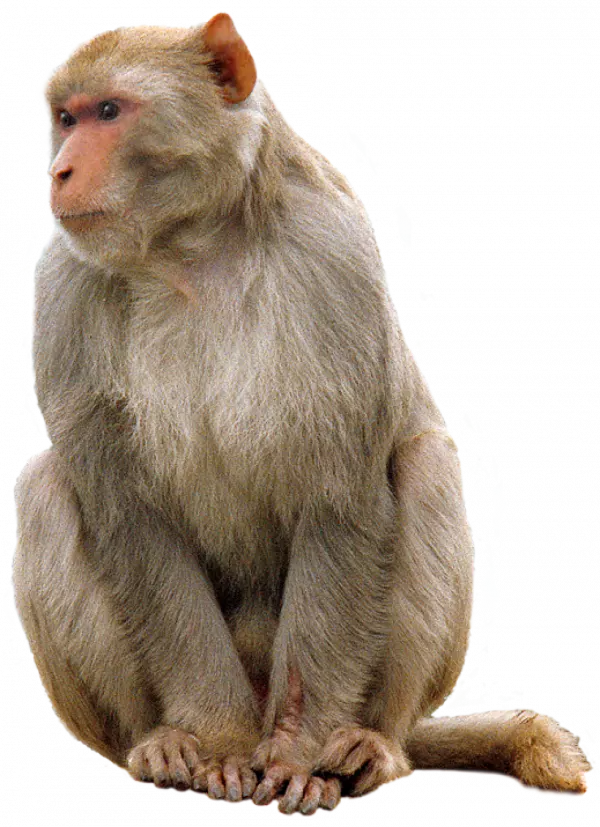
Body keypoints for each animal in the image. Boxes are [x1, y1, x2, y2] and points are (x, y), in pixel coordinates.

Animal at [11, 13, 592, 815]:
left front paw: (297, 753)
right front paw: (217, 743)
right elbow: (131, 519)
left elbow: (339, 501)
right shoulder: (64, 286)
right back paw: (158, 746)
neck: (192, 247)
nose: (60, 172)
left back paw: (368, 747)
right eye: (65, 119)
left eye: (108, 112)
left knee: (423, 464)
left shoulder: (332, 259)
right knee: (45, 485)